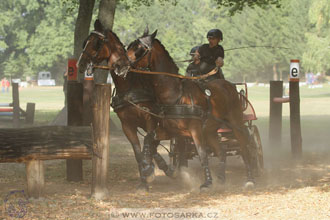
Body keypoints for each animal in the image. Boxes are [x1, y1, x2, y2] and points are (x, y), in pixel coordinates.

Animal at [76, 20, 174, 191]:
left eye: (96, 42)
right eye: (85, 41)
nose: (80, 64)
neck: (130, 85)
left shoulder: (151, 119)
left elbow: (149, 142)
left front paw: (150, 170)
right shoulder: (127, 125)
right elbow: (138, 152)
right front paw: (144, 179)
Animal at [121, 29, 255, 191]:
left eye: (139, 48)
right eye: (130, 45)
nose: (119, 65)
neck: (176, 94)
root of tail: (229, 86)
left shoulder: (195, 130)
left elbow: (202, 154)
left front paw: (207, 182)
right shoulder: (171, 131)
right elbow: (150, 139)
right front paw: (147, 168)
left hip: (236, 123)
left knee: (245, 147)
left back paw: (250, 179)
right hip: (210, 130)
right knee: (221, 152)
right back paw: (222, 178)